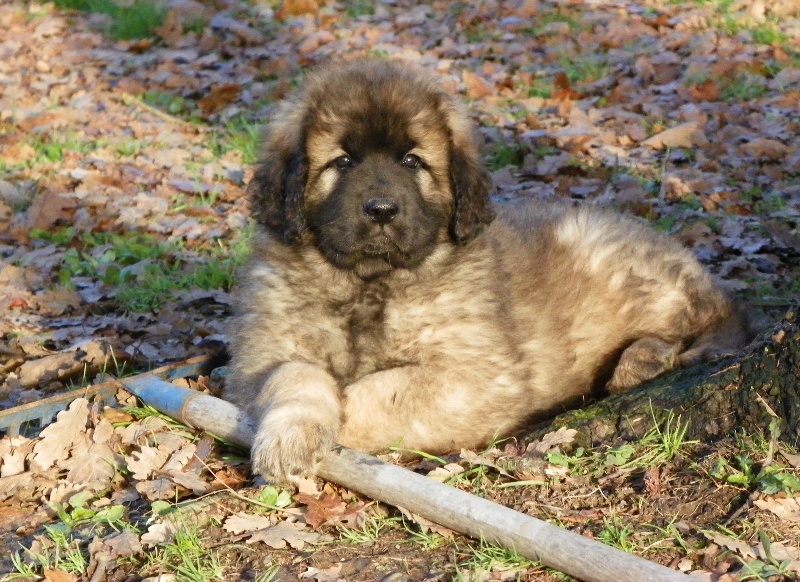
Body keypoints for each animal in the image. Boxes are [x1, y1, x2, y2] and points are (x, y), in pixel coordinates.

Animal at [225, 59, 752, 484]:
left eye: (412, 161)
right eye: (343, 161)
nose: (381, 210)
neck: (370, 283)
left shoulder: (476, 377)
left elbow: (379, 394)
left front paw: (343, 423)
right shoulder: (262, 355)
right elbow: (295, 376)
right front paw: (290, 438)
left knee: (716, 318)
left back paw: (647, 357)